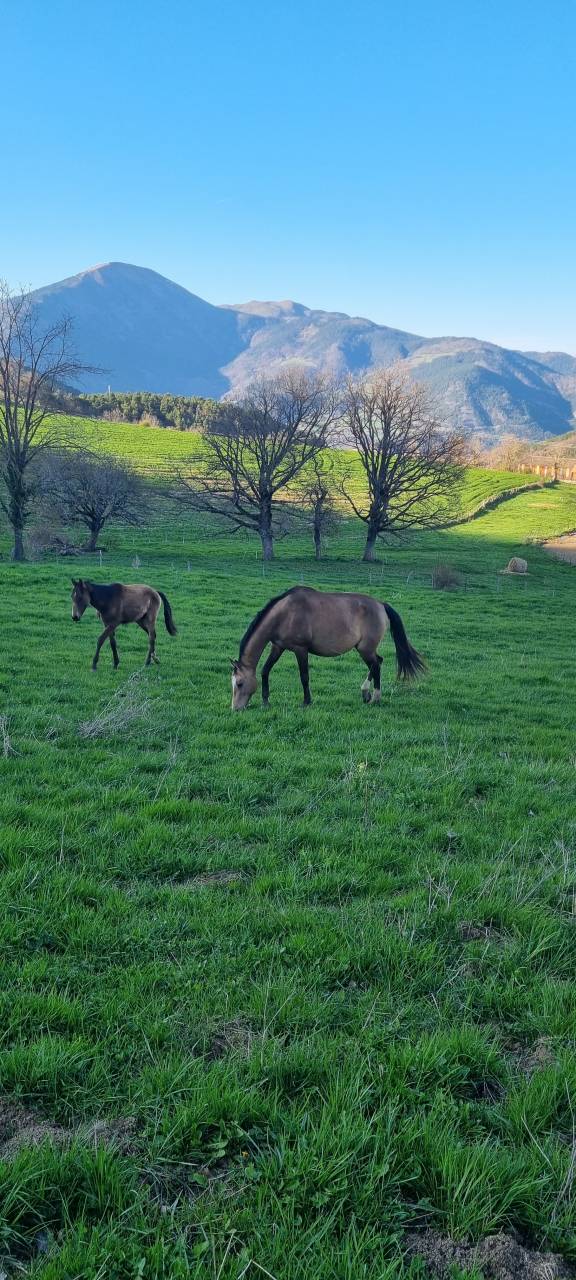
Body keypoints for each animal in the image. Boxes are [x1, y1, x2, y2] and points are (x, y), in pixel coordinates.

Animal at [230, 586, 425, 709]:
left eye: (239, 683)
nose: (235, 708)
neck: (285, 613)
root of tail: (381, 604)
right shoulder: (277, 647)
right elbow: (265, 671)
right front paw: (265, 701)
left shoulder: (301, 650)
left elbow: (304, 677)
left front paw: (306, 702)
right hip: (365, 649)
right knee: (378, 662)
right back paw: (365, 693)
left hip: (365, 649)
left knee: (376, 665)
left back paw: (375, 698)